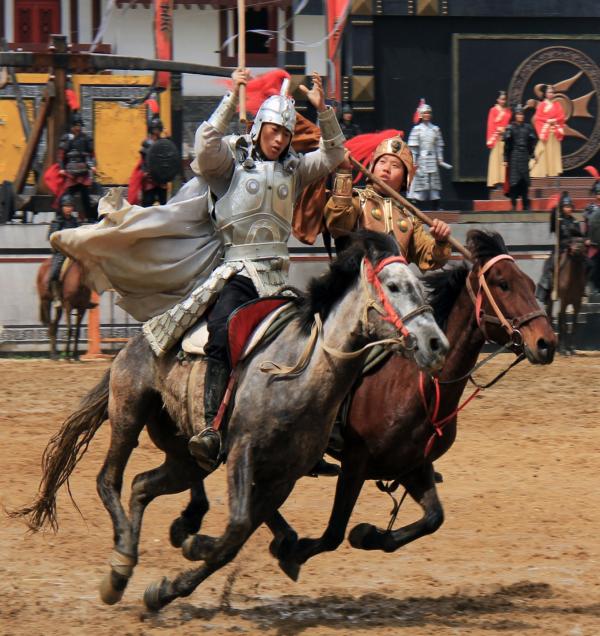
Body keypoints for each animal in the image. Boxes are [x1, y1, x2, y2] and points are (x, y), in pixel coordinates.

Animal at [12, 234, 450, 612]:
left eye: (424, 287)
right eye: (393, 286)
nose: (436, 345)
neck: (300, 375)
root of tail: (137, 340)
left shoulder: (284, 476)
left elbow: (239, 537)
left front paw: (169, 584)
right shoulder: (243, 453)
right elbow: (238, 527)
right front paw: (187, 559)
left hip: (185, 456)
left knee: (141, 486)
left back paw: (133, 560)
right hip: (129, 411)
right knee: (110, 479)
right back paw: (120, 566)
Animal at [171, 231, 556, 580]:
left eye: (528, 283)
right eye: (502, 284)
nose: (546, 342)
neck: (417, 386)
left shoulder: (413, 466)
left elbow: (433, 518)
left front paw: (368, 535)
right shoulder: (356, 462)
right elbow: (334, 532)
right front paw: (297, 553)